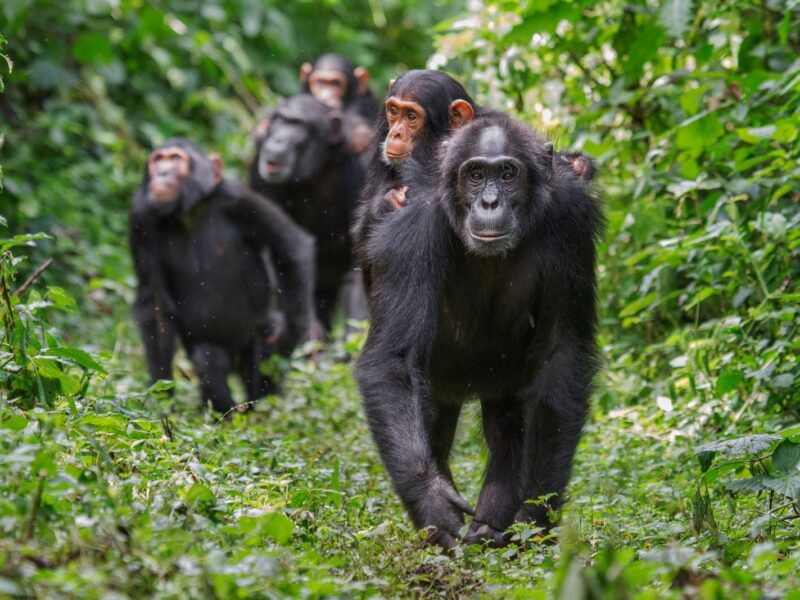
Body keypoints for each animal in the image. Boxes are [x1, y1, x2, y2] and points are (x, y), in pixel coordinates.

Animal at [130, 139, 314, 414]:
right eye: (158, 159)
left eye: (175, 159)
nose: (161, 173)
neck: (189, 212)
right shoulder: (141, 217)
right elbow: (155, 306)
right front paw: (161, 399)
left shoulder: (240, 200)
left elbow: (290, 247)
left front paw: (289, 337)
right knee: (208, 359)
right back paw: (228, 413)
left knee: (264, 346)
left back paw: (262, 406)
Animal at [354, 112, 604, 548]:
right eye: (475, 175)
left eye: (506, 173)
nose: (490, 201)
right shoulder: (413, 229)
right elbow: (394, 360)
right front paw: (434, 503)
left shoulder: (571, 222)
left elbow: (561, 353)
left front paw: (536, 513)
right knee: (433, 426)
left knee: (509, 429)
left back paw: (492, 529)